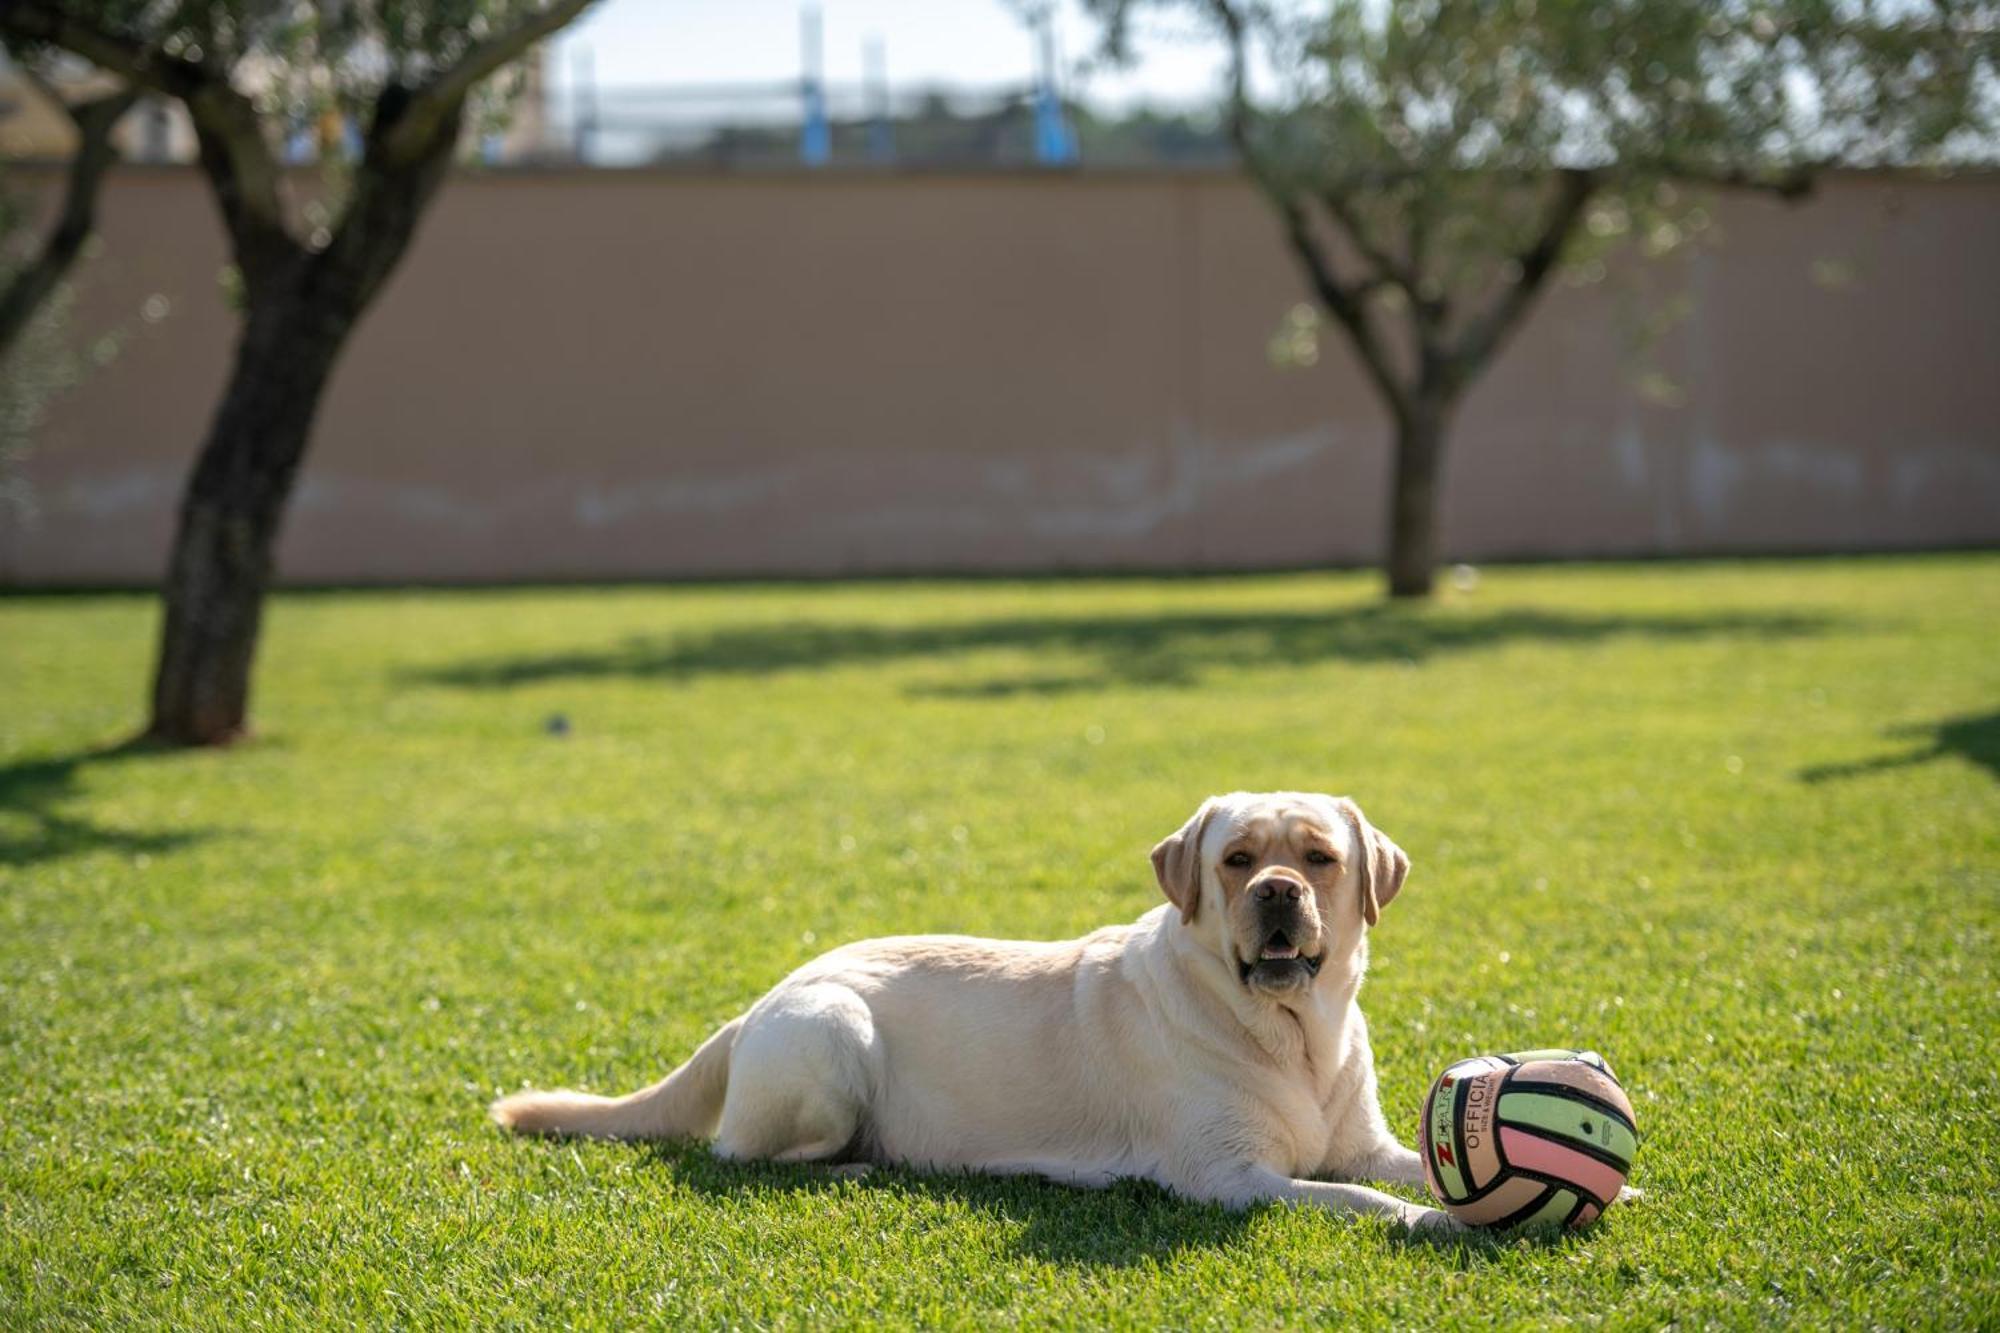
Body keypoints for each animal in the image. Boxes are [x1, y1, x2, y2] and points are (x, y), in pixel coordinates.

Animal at [488, 788, 1456, 1224]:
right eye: (1237, 857)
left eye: (1320, 857)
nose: (1277, 893)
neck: (1296, 1036)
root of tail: (762, 999)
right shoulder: (1227, 1176)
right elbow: (1357, 1198)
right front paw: (1433, 1222)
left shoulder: (1363, 1143)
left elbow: (1392, 1168)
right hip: (833, 1034)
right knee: (743, 1158)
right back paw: (866, 1166)